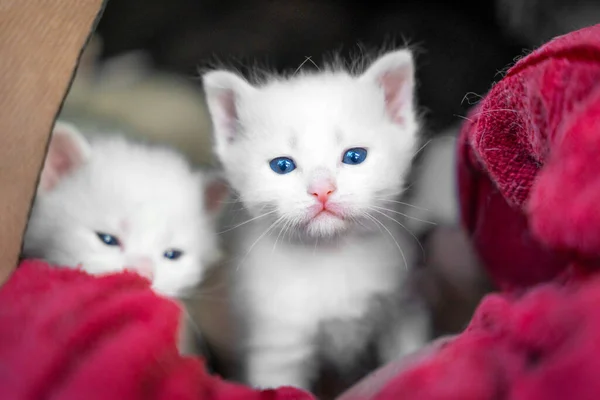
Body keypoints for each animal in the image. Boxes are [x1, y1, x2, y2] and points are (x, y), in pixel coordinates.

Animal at [204, 48, 428, 390]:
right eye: (282, 165)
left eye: (355, 156)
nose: (322, 189)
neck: (331, 256)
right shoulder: (277, 343)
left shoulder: (404, 306)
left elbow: (409, 354)